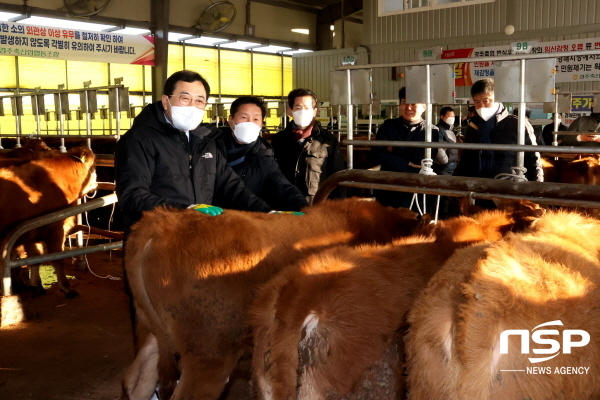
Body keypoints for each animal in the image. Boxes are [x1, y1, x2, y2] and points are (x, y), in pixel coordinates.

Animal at [0, 148, 96, 296]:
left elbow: (35, 258)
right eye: (94, 167)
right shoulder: (56, 228)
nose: (97, 184)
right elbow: (57, 258)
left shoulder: (32, 234)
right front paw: (66, 287)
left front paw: (36, 285)